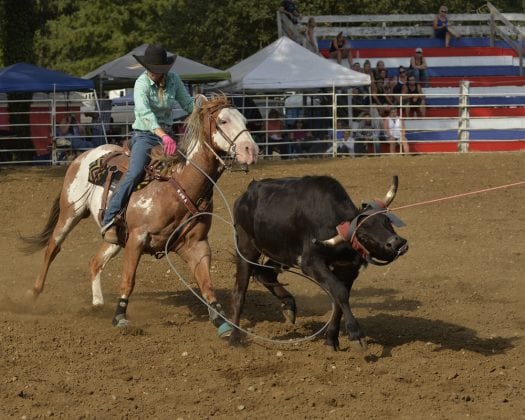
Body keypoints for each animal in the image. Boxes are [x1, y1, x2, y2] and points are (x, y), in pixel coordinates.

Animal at [23, 95, 258, 334]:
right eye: (222, 121)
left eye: (245, 120)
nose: (251, 149)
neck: (177, 185)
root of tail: (85, 155)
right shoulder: (137, 238)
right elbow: (128, 280)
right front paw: (120, 317)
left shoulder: (197, 244)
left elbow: (207, 285)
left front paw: (222, 322)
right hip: (71, 212)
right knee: (52, 248)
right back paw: (33, 294)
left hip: (115, 238)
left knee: (95, 262)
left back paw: (98, 302)